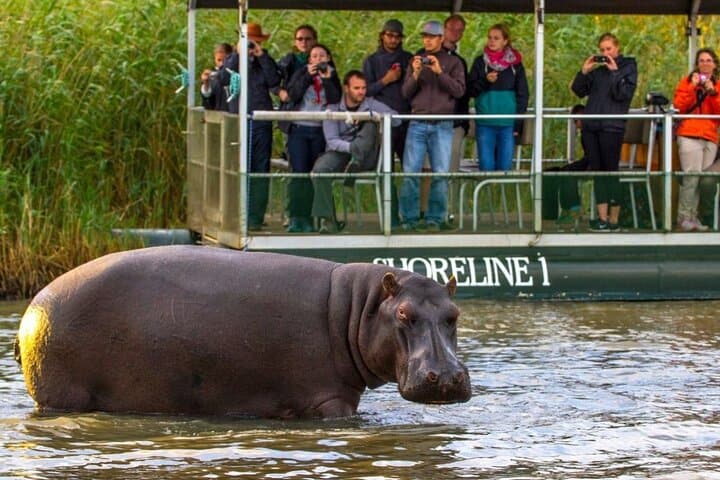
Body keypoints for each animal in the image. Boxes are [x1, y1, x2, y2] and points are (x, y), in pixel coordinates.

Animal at [15, 245, 471, 419]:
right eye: (404, 315)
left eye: (454, 313)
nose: (448, 377)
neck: (359, 307)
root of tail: (30, 310)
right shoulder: (329, 400)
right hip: (63, 396)